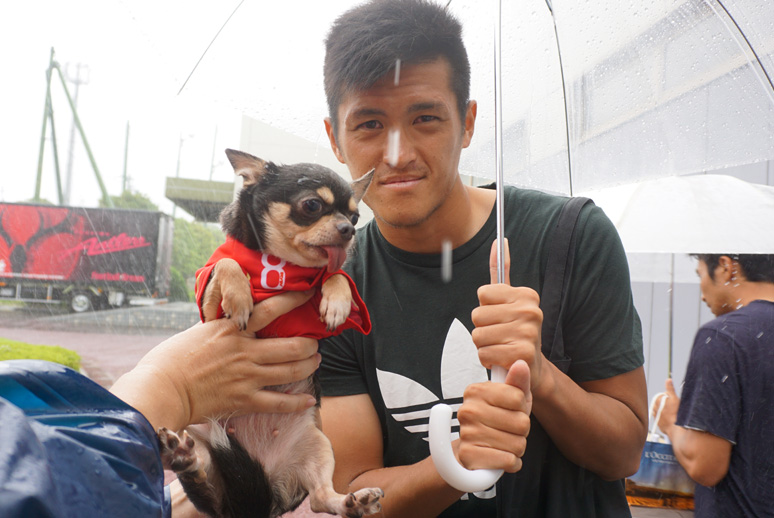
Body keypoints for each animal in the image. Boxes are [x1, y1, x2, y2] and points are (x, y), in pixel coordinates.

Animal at [157, 149, 382, 518]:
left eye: (355, 215)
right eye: (311, 205)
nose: (348, 229)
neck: (280, 264)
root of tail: (264, 498)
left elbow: (335, 275)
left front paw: (336, 302)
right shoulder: (210, 308)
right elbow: (227, 264)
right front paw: (240, 295)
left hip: (318, 444)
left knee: (320, 498)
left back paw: (353, 501)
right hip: (202, 441)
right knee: (206, 491)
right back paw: (183, 458)